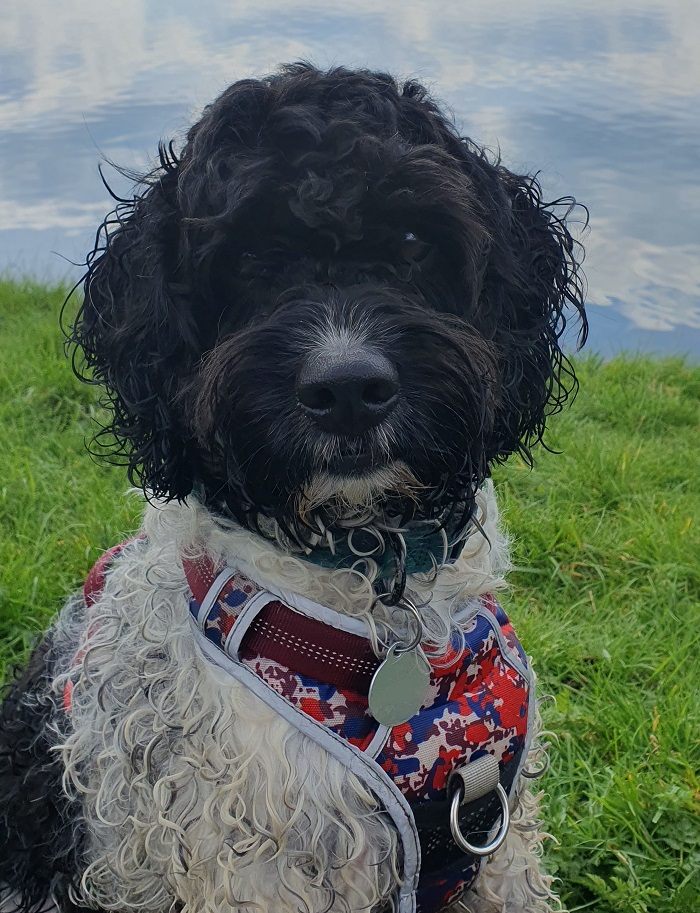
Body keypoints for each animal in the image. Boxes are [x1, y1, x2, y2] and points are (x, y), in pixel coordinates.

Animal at [0, 64, 586, 913]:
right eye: (247, 258)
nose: (347, 390)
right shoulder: (254, 863)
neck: (380, 608)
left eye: (414, 241)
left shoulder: (493, 835)